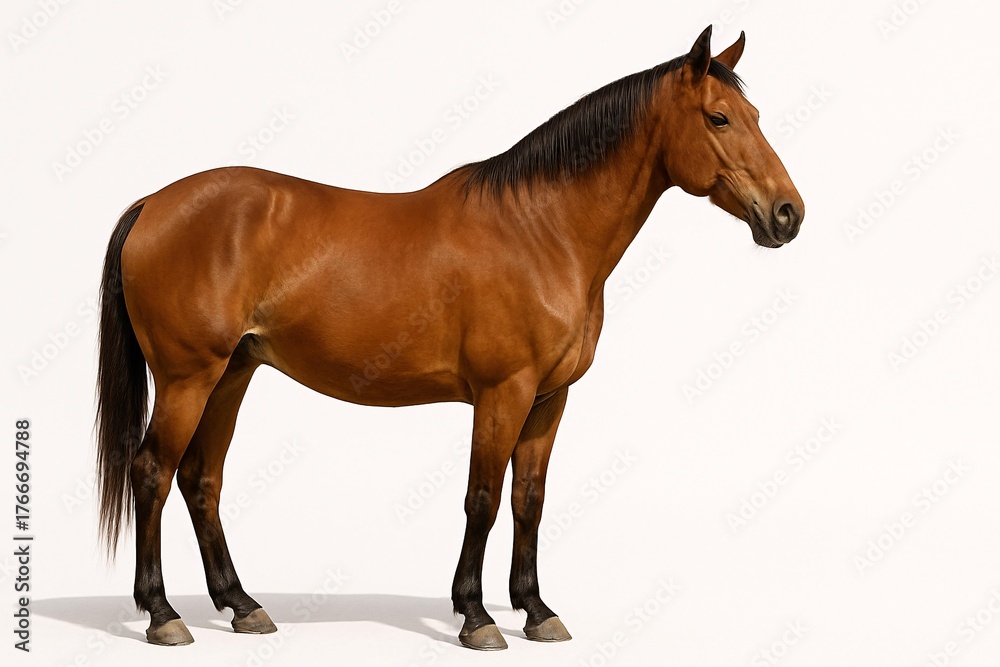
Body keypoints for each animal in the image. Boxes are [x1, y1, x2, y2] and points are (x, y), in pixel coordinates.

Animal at [95, 25, 803, 650]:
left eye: (755, 113)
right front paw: (477, 617)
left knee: (201, 479)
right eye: (719, 118)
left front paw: (537, 610)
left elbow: (528, 500)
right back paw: (162, 615)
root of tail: (152, 204)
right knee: (153, 471)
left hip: (233, 373)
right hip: (189, 376)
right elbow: (482, 499)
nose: (788, 214)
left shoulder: (549, 399)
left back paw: (241, 605)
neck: (542, 230)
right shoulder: (503, 392)